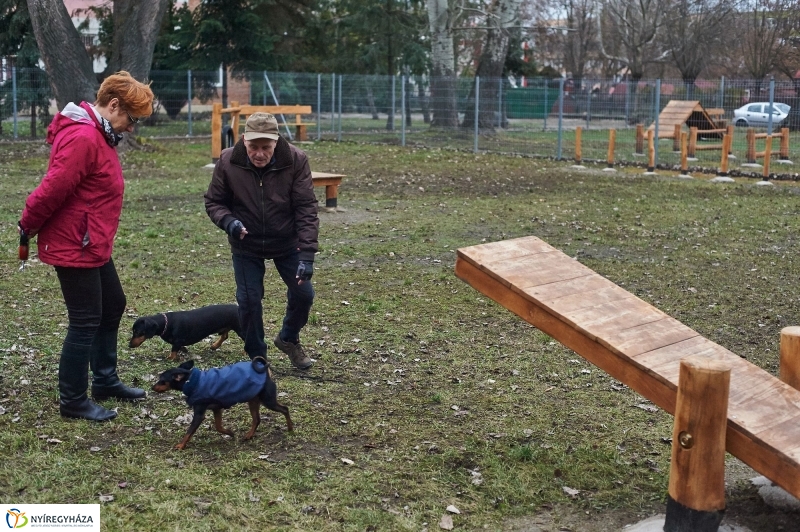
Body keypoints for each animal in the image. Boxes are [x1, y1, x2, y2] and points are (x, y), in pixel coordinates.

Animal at [152, 358, 292, 448]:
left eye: (162, 381)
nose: (152, 387)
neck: (191, 381)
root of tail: (265, 372)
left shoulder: (199, 414)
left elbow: (189, 432)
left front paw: (181, 445)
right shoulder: (217, 409)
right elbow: (218, 426)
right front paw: (230, 433)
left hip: (268, 401)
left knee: (285, 409)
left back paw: (290, 428)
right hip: (253, 401)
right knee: (257, 419)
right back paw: (249, 435)